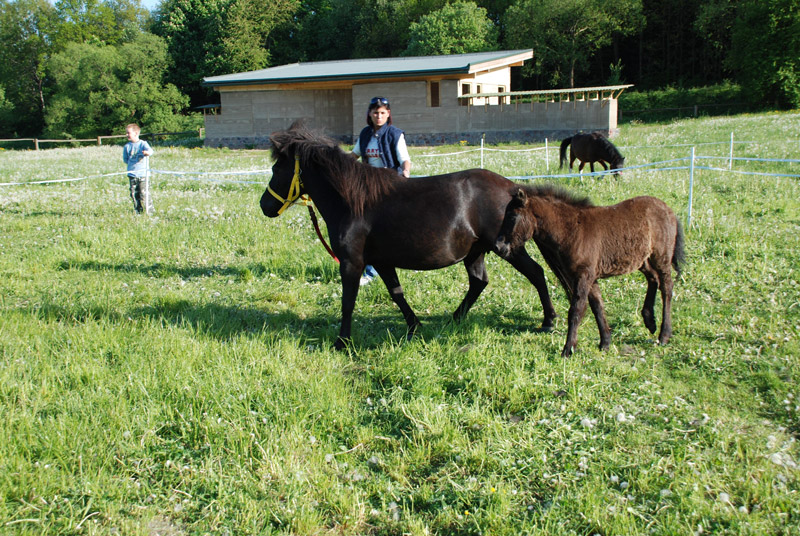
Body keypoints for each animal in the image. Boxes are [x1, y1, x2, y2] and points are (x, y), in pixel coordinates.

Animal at [260, 122, 556, 350]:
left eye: (276, 170)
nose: (265, 206)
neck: (353, 203)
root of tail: (513, 189)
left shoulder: (351, 262)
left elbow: (348, 302)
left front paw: (342, 342)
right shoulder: (381, 261)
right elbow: (396, 293)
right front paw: (414, 326)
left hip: (508, 248)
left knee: (536, 273)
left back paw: (549, 321)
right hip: (475, 252)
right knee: (479, 282)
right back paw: (455, 317)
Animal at [494, 186, 688, 358]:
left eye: (512, 216)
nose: (498, 247)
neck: (572, 230)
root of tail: (669, 209)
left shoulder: (583, 275)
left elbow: (576, 310)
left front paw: (568, 349)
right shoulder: (589, 277)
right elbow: (597, 306)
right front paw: (605, 343)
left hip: (661, 257)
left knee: (667, 288)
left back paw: (664, 334)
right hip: (643, 260)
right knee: (653, 279)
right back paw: (650, 321)